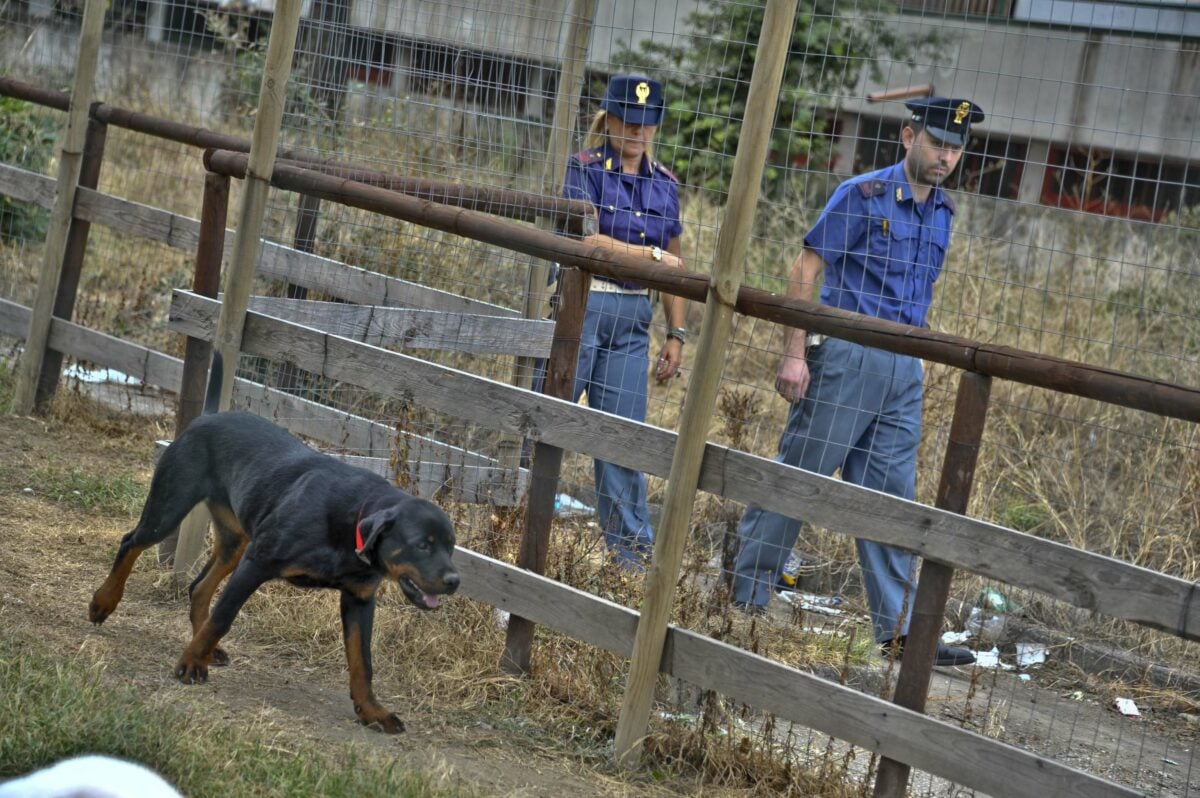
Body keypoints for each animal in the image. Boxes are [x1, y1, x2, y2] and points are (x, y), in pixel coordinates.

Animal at [88, 352, 458, 729]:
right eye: (422, 544)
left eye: (451, 546)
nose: (454, 581)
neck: (349, 521)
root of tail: (207, 417)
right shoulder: (257, 563)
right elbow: (223, 617)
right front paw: (190, 664)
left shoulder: (359, 599)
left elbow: (362, 661)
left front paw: (372, 711)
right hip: (170, 508)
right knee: (131, 542)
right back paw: (104, 603)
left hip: (234, 540)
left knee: (199, 587)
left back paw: (206, 648)